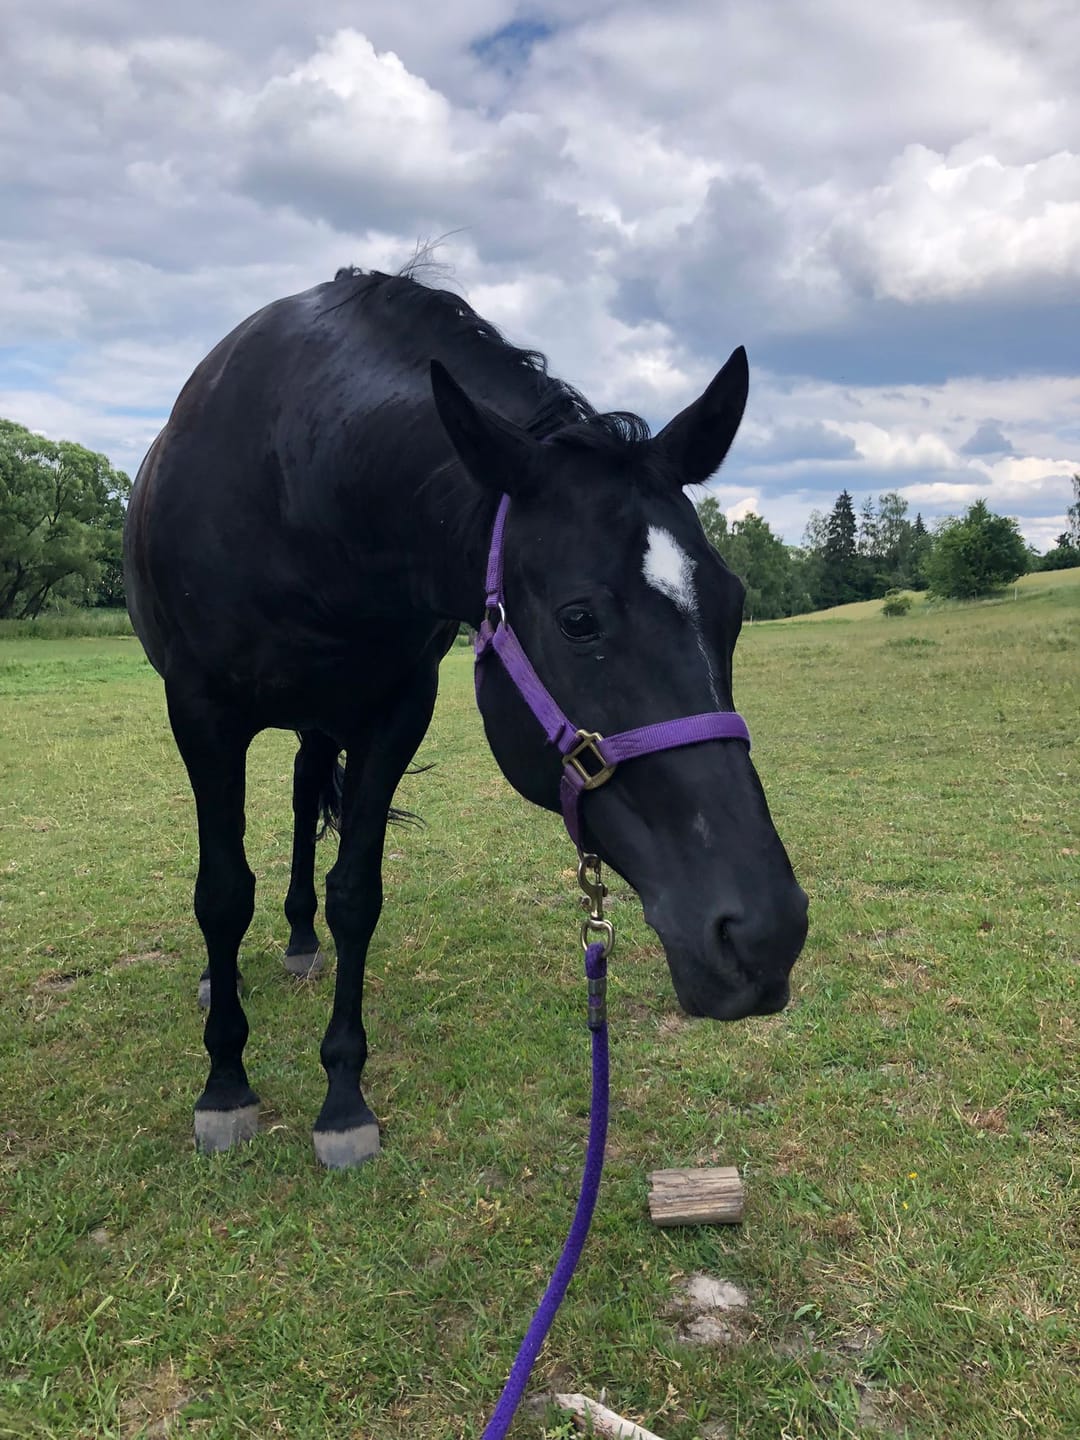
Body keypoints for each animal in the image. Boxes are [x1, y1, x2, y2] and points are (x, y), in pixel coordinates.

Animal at [124, 264, 808, 1168]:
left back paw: (302, 940)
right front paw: (226, 1084)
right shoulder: (202, 712)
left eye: (733, 607)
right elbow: (222, 893)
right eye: (579, 619)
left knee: (307, 796)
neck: (301, 480)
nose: (765, 935)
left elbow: (356, 895)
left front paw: (342, 1097)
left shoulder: (394, 713)